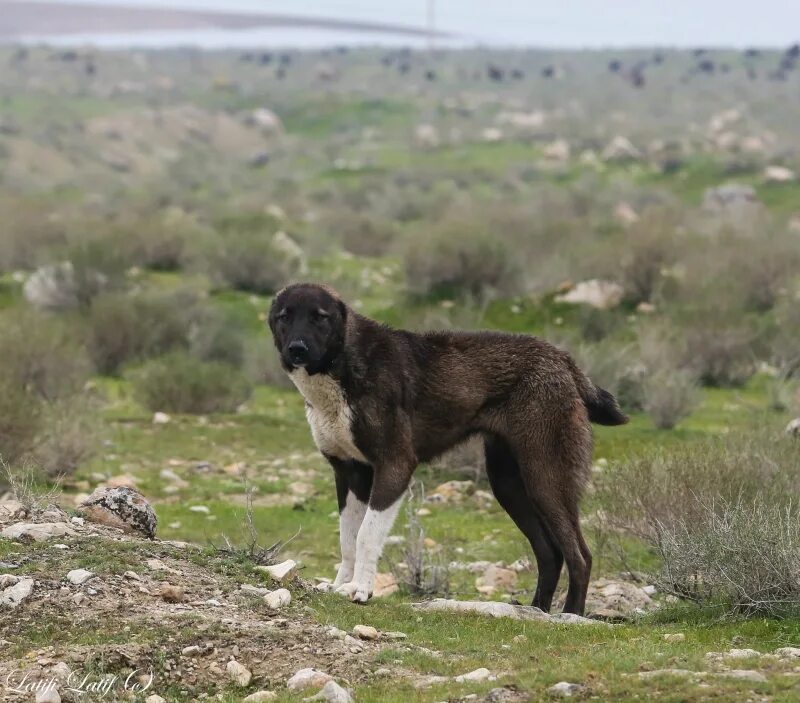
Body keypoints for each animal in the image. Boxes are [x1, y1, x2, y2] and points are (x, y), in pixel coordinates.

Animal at [272, 284, 628, 612]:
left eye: (320, 317)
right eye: (284, 317)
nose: (297, 349)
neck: (344, 363)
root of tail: (564, 360)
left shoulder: (394, 466)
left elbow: (366, 535)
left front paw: (360, 589)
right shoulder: (349, 474)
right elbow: (347, 539)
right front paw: (341, 584)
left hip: (546, 481)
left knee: (580, 556)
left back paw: (571, 615)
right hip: (509, 485)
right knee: (550, 553)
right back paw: (537, 610)